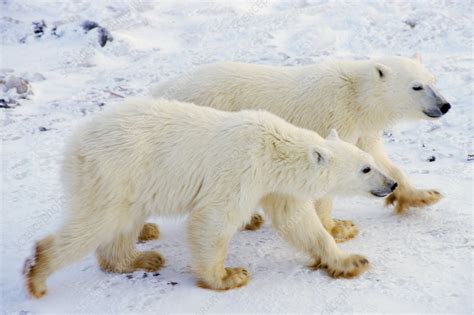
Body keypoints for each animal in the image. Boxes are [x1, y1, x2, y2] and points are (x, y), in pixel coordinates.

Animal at [25, 99, 396, 298]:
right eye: (366, 168)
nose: (391, 184)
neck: (272, 149)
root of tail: (75, 143)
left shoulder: (273, 185)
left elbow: (298, 222)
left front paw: (351, 261)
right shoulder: (241, 170)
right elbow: (213, 221)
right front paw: (229, 276)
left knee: (121, 223)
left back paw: (141, 259)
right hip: (114, 171)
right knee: (94, 222)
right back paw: (38, 274)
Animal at [151, 54, 448, 242]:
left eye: (434, 79)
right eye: (417, 86)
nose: (445, 105)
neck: (355, 97)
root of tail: (159, 90)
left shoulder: (361, 129)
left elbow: (380, 159)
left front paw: (423, 195)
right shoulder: (335, 117)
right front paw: (336, 228)